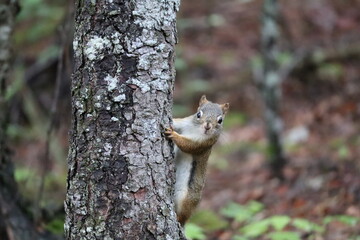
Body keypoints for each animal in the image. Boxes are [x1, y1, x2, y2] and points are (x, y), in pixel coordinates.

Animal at [165, 95, 229, 225]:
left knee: (183, 216)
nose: (207, 126)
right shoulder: (184, 122)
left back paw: (179, 219)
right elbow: (176, 122)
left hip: (185, 199)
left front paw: (173, 135)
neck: (196, 130)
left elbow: (187, 145)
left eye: (220, 120)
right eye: (198, 114)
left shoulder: (202, 144)